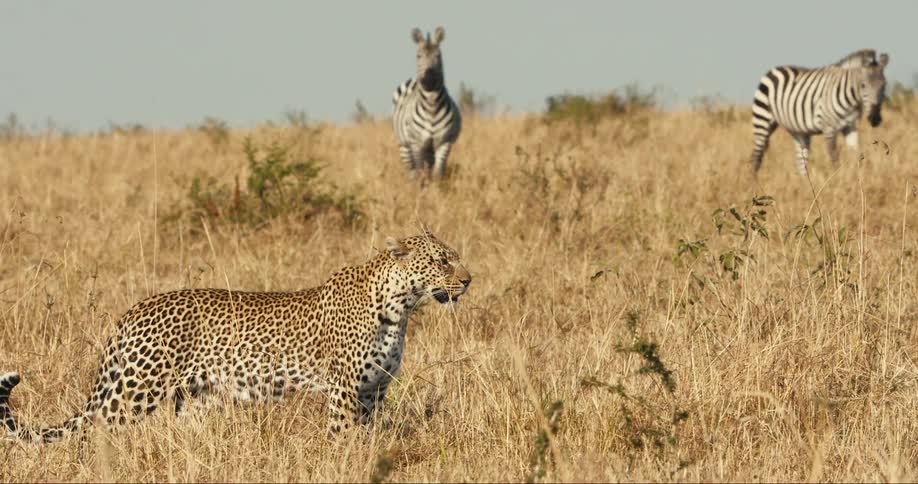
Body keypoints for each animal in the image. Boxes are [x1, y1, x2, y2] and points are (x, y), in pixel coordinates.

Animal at [0, 232, 471, 443]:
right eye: (442, 261)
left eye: (454, 258)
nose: (468, 280)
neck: (400, 307)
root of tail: (133, 311)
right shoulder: (344, 389)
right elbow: (342, 434)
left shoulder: (374, 390)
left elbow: (367, 434)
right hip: (135, 390)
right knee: (96, 430)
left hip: (193, 399)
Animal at [392, 26, 461, 180]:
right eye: (418, 56)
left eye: (438, 56)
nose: (428, 81)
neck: (432, 107)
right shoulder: (417, 144)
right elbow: (419, 173)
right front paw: (422, 186)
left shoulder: (444, 142)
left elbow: (438, 173)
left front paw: (437, 186)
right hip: (404, 146)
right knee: (412, 172)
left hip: (429, 149)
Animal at [750, 52, 889, 176]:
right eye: (863, 85)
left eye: (884, 85)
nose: (875, 118)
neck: (852, 101)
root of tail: (773, 69)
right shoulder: (829, 127)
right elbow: (834, 157)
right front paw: (837, 179)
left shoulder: (850, 126)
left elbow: (856, 154)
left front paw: (859, 177)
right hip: (762, 118)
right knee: (756, 156)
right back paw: (753, 182)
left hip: (798, 131)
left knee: (801, 161)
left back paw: (804, 183)